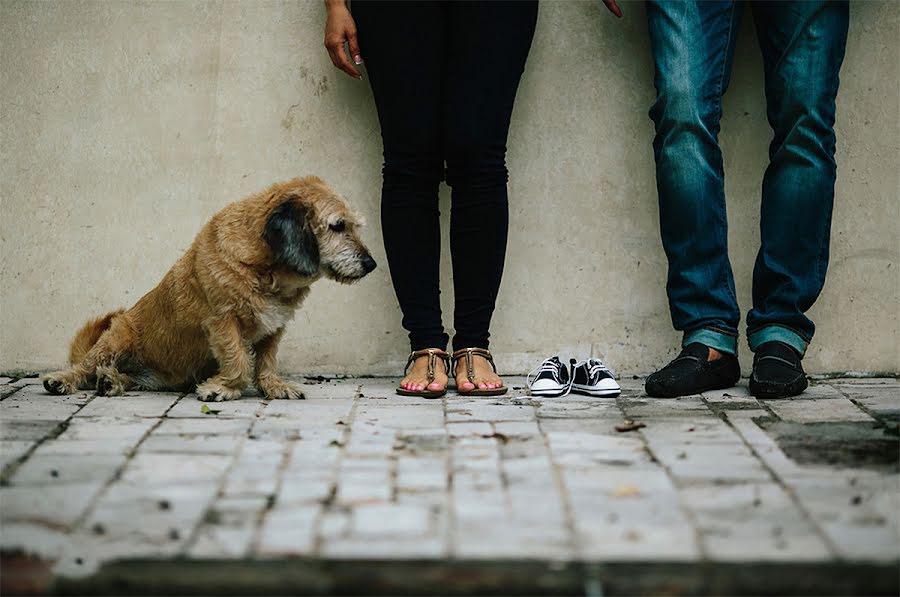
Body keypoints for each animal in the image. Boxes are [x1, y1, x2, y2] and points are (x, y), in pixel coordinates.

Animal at [41, 176, 372, 400]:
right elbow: (238, 359)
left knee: (128, 378)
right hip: (116, 339)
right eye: (337, 226)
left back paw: (111, 381)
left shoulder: (273, 330)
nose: (371, 264)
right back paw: (64, 379)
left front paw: (274, 387)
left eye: (354, 225)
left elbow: (265, 363)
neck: (264, 270)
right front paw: (223, 389)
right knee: (84, 366)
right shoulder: (223, 322)